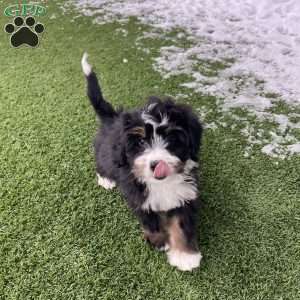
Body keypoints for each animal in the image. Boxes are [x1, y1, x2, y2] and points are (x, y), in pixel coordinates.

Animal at [82, 54, 203, 272]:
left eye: (171, 139)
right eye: (140, 142)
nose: (156, 164)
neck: (161, 184)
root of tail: (112, 118)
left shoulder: (184, 194)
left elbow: (181, 224)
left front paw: (185, 256)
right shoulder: (136, 194)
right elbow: (149, 219)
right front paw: (159, 241)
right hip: (106, 154)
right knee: (103, 161)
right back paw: (105, 179)